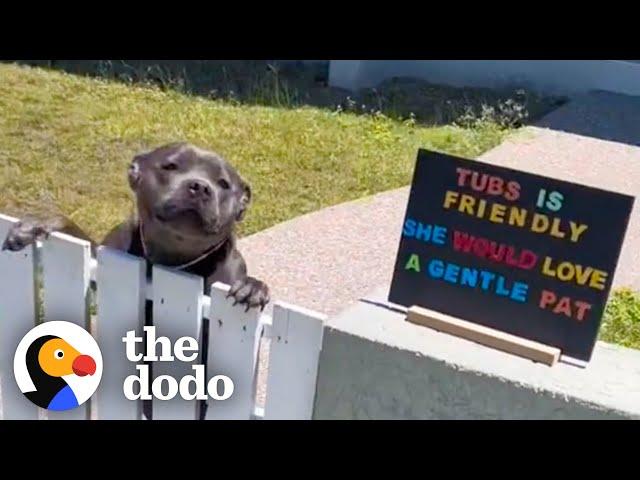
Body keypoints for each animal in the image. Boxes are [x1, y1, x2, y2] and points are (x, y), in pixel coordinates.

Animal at [1, 142, 270, 312]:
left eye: (224, 184)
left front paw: (253, 286)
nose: (200, 186)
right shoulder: (99, 266)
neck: (172, 259)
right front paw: (39, 223)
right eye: (170, 166)